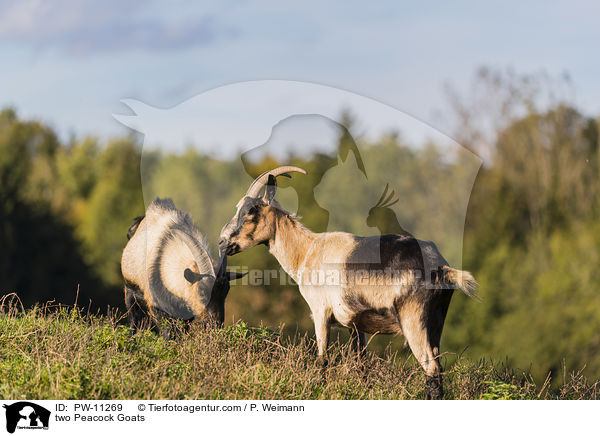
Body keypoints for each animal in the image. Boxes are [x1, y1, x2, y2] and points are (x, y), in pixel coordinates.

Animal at [219, 166, 478, 398]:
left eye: (252, 210)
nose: (222, 243)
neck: (307, 251)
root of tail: (441, 268)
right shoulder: (355, 323)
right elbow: (361, 363)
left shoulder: (320, 311)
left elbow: (322, 359)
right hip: (436, 321)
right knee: (438, 366)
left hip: (413, 319)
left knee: (431, 368)